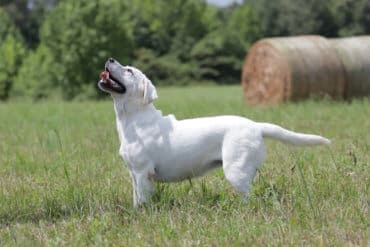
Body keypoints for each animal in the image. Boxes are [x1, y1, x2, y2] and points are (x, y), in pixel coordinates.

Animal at [98, 57, 330, 206]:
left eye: (129, 71)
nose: (109, 58)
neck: (133, 119)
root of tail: (256, 125)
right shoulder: (134, 174)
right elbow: (136, 198)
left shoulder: (143, 172)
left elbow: (143, 202)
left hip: (236, 170)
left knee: (249, 198)